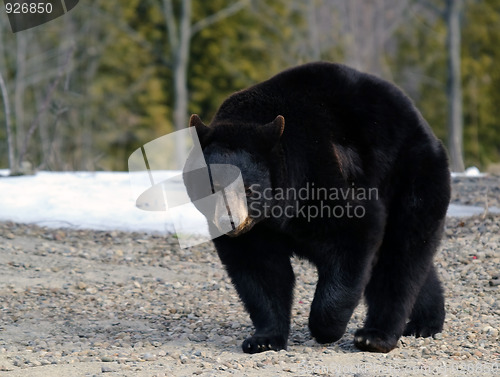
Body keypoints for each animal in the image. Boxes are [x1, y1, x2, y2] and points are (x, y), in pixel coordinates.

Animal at [183, 61, 450, 352]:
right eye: (212, 188)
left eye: (248, 189)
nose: (229, 222)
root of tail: (426, 129)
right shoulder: (255, 231)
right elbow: (259, 270)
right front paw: (263, 339)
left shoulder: (319, 172)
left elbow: (355, 231)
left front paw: (326, 328)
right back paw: (425, 322)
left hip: (409, 176)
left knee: (402, 254)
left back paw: (375, 336)